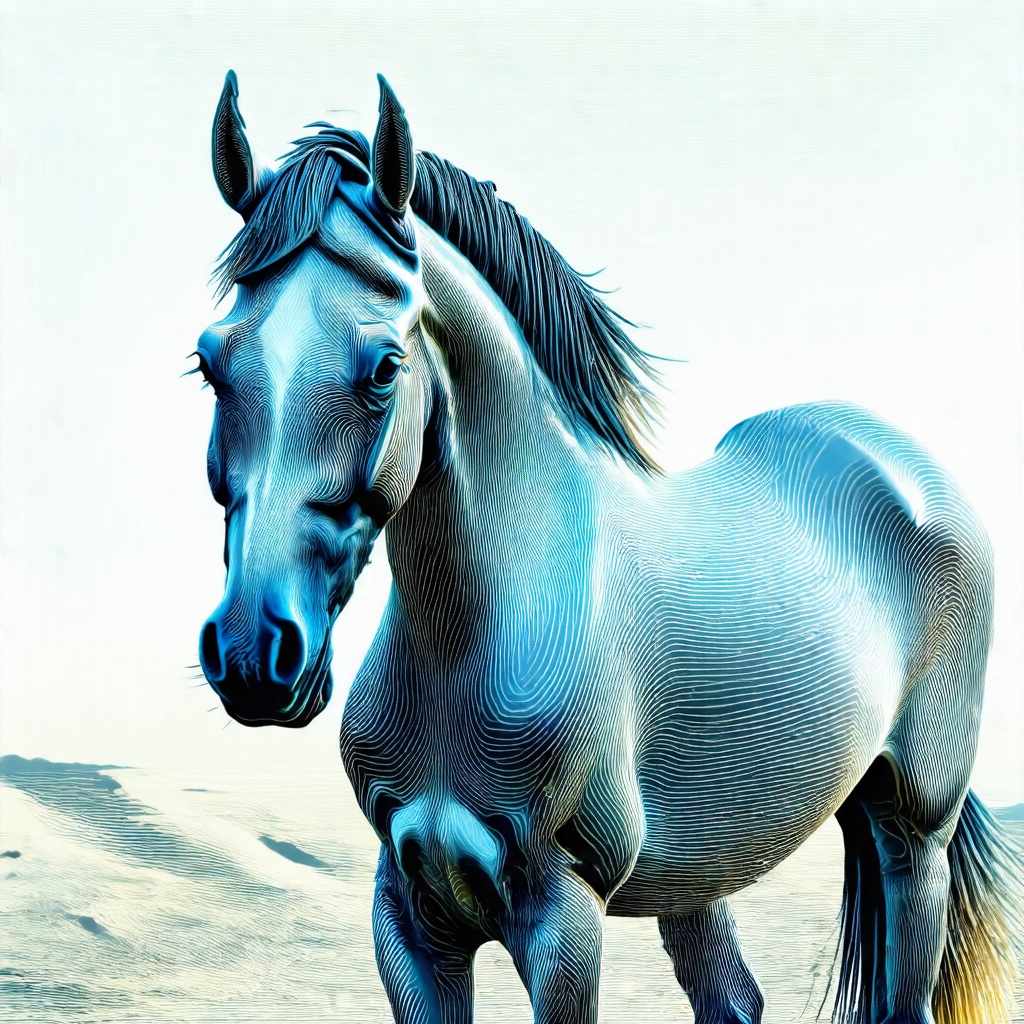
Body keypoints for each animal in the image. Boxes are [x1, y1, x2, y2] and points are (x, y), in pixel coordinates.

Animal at [195, 72, 1022, 1024]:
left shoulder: (564, 914)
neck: (480, 629)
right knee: (732, 999)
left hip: (914, 830)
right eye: (210, 362)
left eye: (384, 368)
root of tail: (902, 463)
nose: (253, 654)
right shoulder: (408, 914)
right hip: (710, 861)